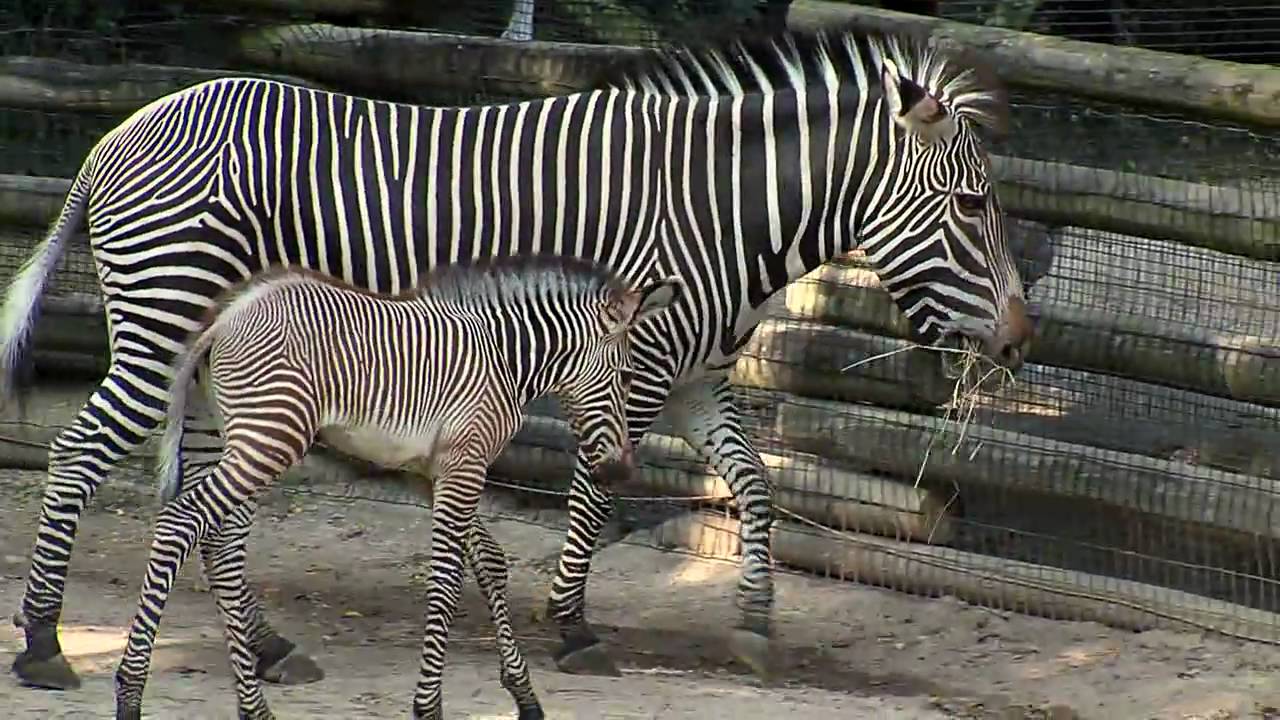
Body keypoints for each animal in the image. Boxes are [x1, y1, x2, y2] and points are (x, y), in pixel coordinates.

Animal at [114, 256, 682, 720]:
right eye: (628, 377)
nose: (620, 473)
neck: (506, 356)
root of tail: (227, 315)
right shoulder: (465, 462)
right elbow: (447, 581)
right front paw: (428, 705)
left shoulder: (436, 468)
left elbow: (491, 562)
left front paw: (525, 697)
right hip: (270, 437)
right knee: (182, 523)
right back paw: (131, 694)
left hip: (239, 436)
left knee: (220, 544)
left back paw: (254, 706)